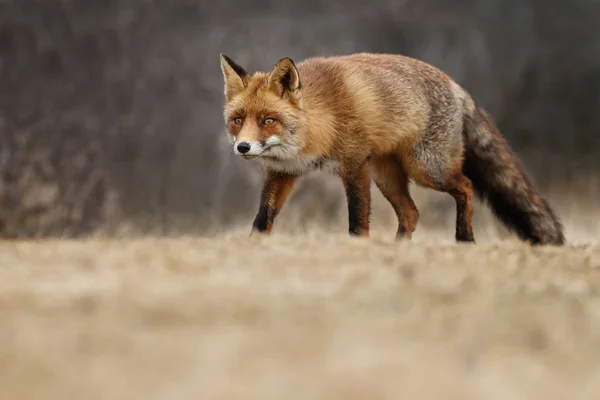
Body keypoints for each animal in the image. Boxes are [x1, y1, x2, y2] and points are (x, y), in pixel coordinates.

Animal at [219, 51, 564, 245]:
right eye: (237, 120)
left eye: (268, 120)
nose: (244, 147)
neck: (319, 124)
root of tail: (455, 84)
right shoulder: (282, 172)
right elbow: (263, 216)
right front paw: (252, 248)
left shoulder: (355, 165)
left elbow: (357, 218)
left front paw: (358, 249)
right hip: (388, 175)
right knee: (411, 213)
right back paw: (398, 249)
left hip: (427, 169)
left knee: (465, 187)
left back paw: (464, 238)